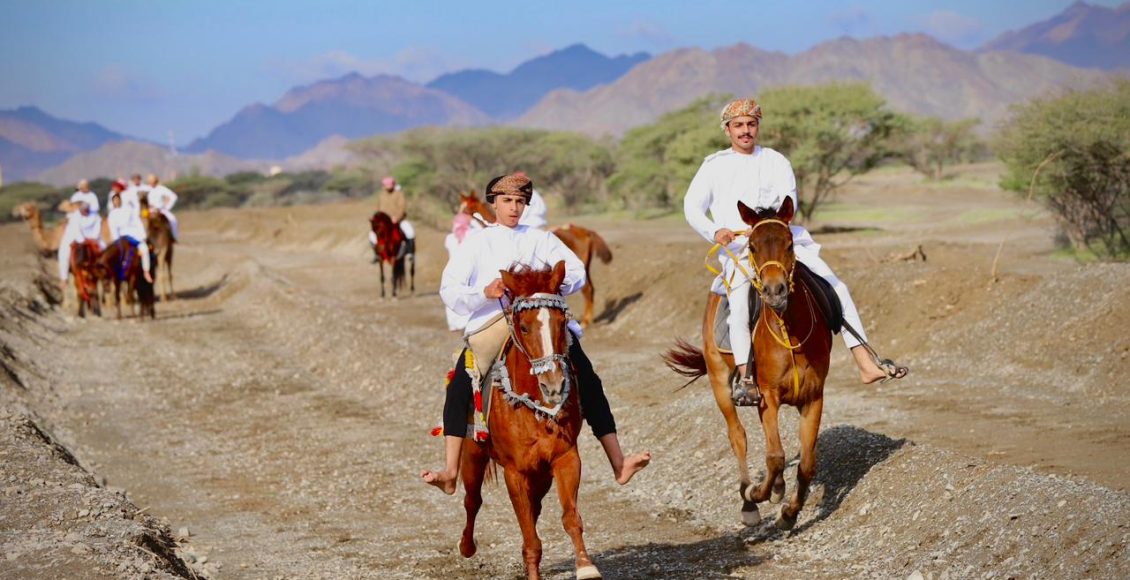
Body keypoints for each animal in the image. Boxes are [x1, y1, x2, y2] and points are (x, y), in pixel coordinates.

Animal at [458, 261, 600, 580]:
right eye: (524, 327)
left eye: (561, 323)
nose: (554, 385)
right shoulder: (516, 472)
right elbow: (530, 539)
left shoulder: (565, 458)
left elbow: (570, 517)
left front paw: (586, 566)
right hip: (473, 455)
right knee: (472, 500)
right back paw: (466, 547)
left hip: (542, 474)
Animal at [663, 197, 833, 530]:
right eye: (752, 246)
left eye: (790, 243)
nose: (775, 291)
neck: (789, 332)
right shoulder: (767, 396)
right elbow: (775, 456)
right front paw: (757, 494)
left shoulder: (813, 398)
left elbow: (806, 464)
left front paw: (789, 514)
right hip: (720, 380)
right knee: (738, 436)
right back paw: (749, 502)